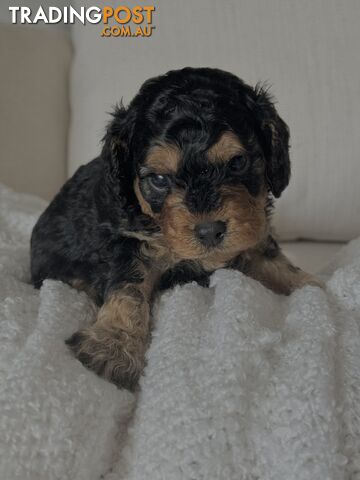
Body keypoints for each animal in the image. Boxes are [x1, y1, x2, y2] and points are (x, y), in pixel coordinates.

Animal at [30, 68, 320, 390]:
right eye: (158, 178)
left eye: (237, 162)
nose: (209, 231)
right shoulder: (127, 241)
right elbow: (128, 289)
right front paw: (113, 346)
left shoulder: (252, 238)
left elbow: (281, 268)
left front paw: (315, 288)